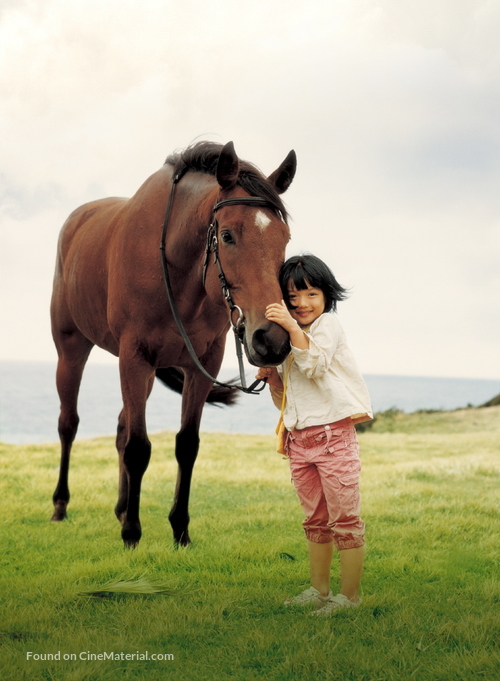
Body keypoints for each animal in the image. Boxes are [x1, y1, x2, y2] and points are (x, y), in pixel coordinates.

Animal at [49, 139, 296, 548]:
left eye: (285, 239)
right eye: (227, 235)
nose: (272, 338)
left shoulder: (203, 364)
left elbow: (186, 445)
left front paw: (180, 528)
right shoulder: (134, 357)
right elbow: (138, 447)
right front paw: (132, 534)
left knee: (121, 428)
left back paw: (121, 508)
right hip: (72, 350)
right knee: (69, 424)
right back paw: (61, 505)